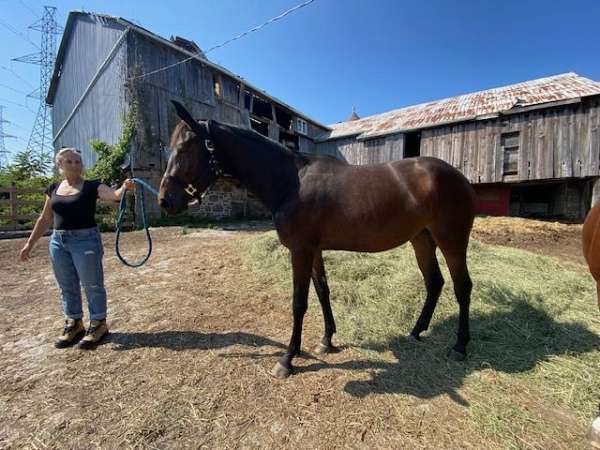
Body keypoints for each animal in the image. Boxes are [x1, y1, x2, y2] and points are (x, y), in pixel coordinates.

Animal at [161, 100, 478, 378]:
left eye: (184, 148)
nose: (165, 200)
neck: (290, 181)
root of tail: (460, 177)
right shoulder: (314, 250)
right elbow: (323, 291)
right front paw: (327, 340)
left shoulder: (300, 250)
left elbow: (299, 302)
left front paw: (288, 359)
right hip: (421, 240)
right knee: (434, 283)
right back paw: (416, 331)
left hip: (451, 240)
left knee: (462, 287)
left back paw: (459, 346)